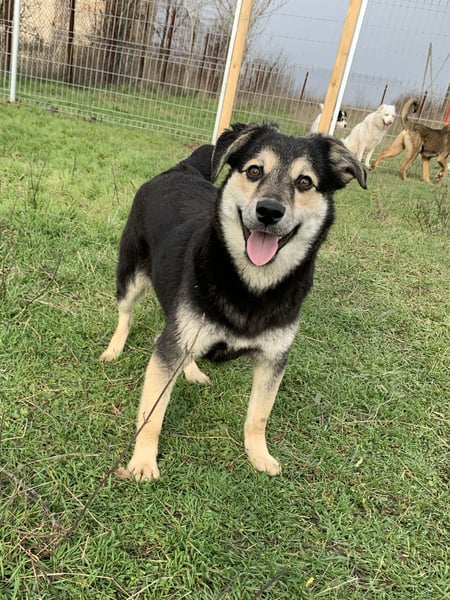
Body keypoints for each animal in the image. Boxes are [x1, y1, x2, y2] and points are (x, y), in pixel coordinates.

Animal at [101, 123, 366, 481]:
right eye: (254, 171)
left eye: (304, 182)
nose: (269, 212)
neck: (252, 285)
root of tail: (179, 170)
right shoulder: (170, 348)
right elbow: (152, 415)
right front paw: (143, 461)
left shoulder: (273, 357)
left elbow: (259, 416)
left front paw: (259, 455)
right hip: (131, 275)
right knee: (126, 314)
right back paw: (114, 349)